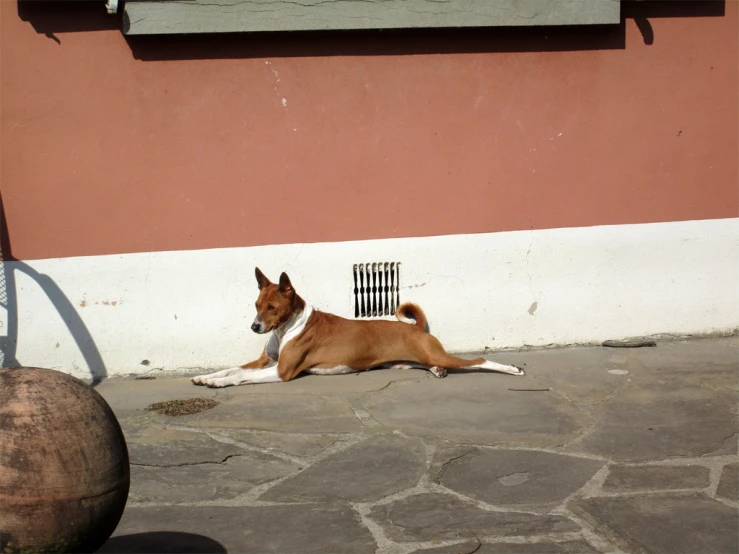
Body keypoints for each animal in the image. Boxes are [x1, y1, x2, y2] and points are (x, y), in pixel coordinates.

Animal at [192, 268, 528, 388]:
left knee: (480, 360)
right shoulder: (266, 361)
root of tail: (416, 328)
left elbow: (240, 376)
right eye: (256, 305)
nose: (254, 326)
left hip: (438, 353)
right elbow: (232, 368)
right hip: (412, 359)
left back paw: (512, 369)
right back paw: (437, 372)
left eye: (272, 308)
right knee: (431, 364)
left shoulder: (282, 370)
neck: (286, 327)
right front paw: (206, 377)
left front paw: (220, 383)